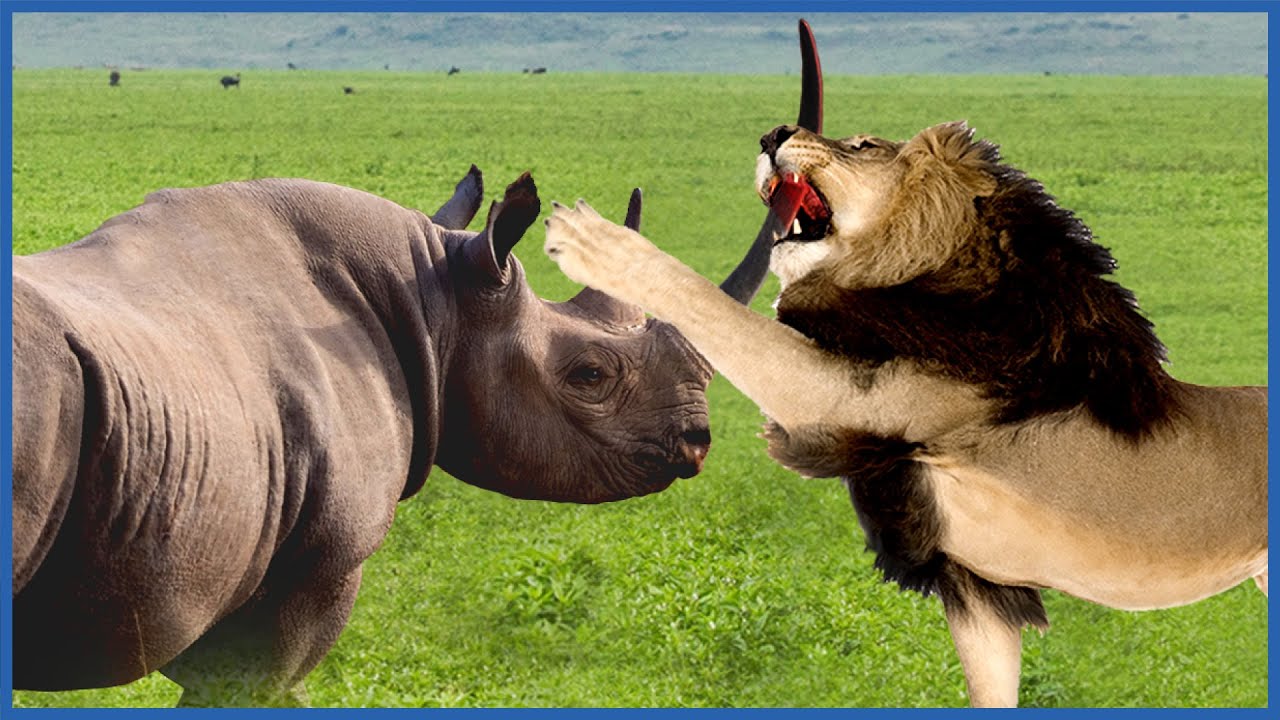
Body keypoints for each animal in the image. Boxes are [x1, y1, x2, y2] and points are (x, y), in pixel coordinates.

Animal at [543, 20, 1267, 708]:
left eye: (863, 144)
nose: (774, 132)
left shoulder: (856, 399)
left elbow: (717, 310)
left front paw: (597, 241)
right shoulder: (977, 591)